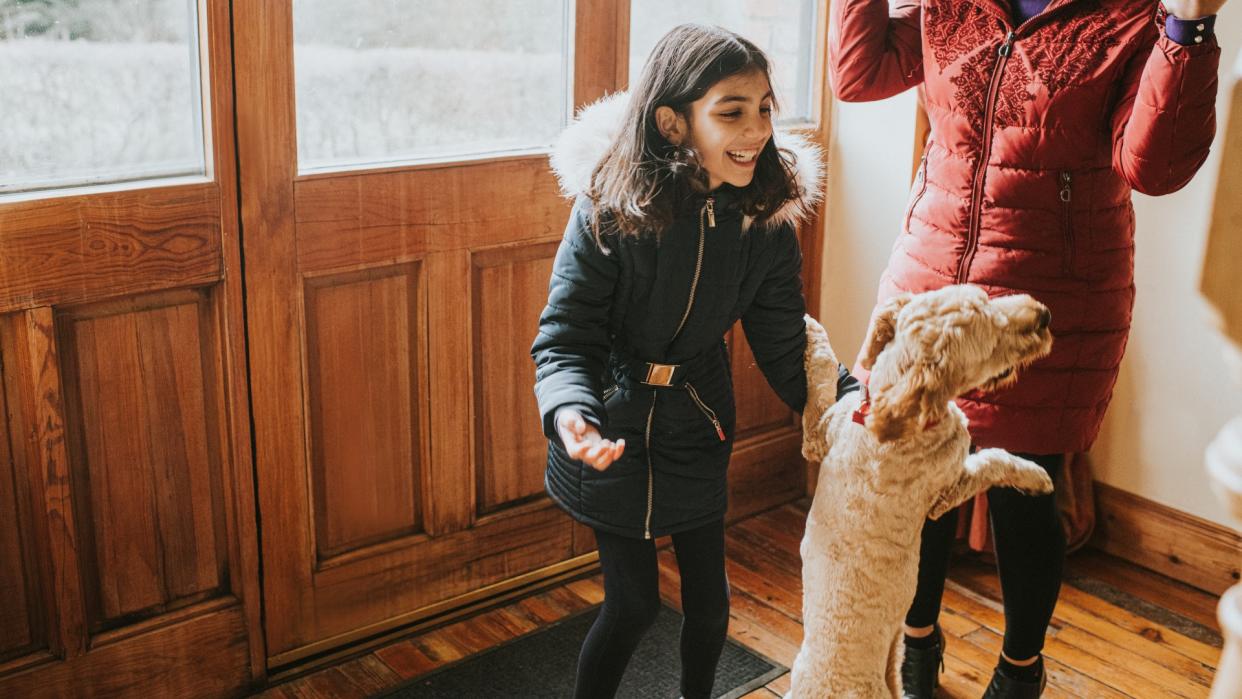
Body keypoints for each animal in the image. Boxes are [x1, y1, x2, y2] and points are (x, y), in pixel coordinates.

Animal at [789, 285, 1053, 699]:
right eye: (993, 340)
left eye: (986, 296)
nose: (1044, 315)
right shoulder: (947, 488)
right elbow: (993, 459)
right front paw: (1036, 475)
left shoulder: (821, 435)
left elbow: (821, 380)